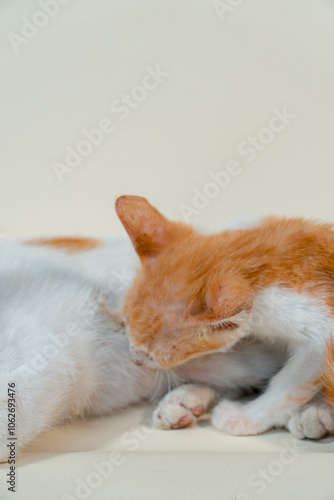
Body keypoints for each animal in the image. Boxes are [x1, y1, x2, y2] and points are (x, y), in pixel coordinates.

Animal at [116, 195, 334, 438]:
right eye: (124, 325)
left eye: (156, 356)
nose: (134, 358)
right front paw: (187, 397)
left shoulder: (320, 330)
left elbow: (290, 384)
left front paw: (245, 417)